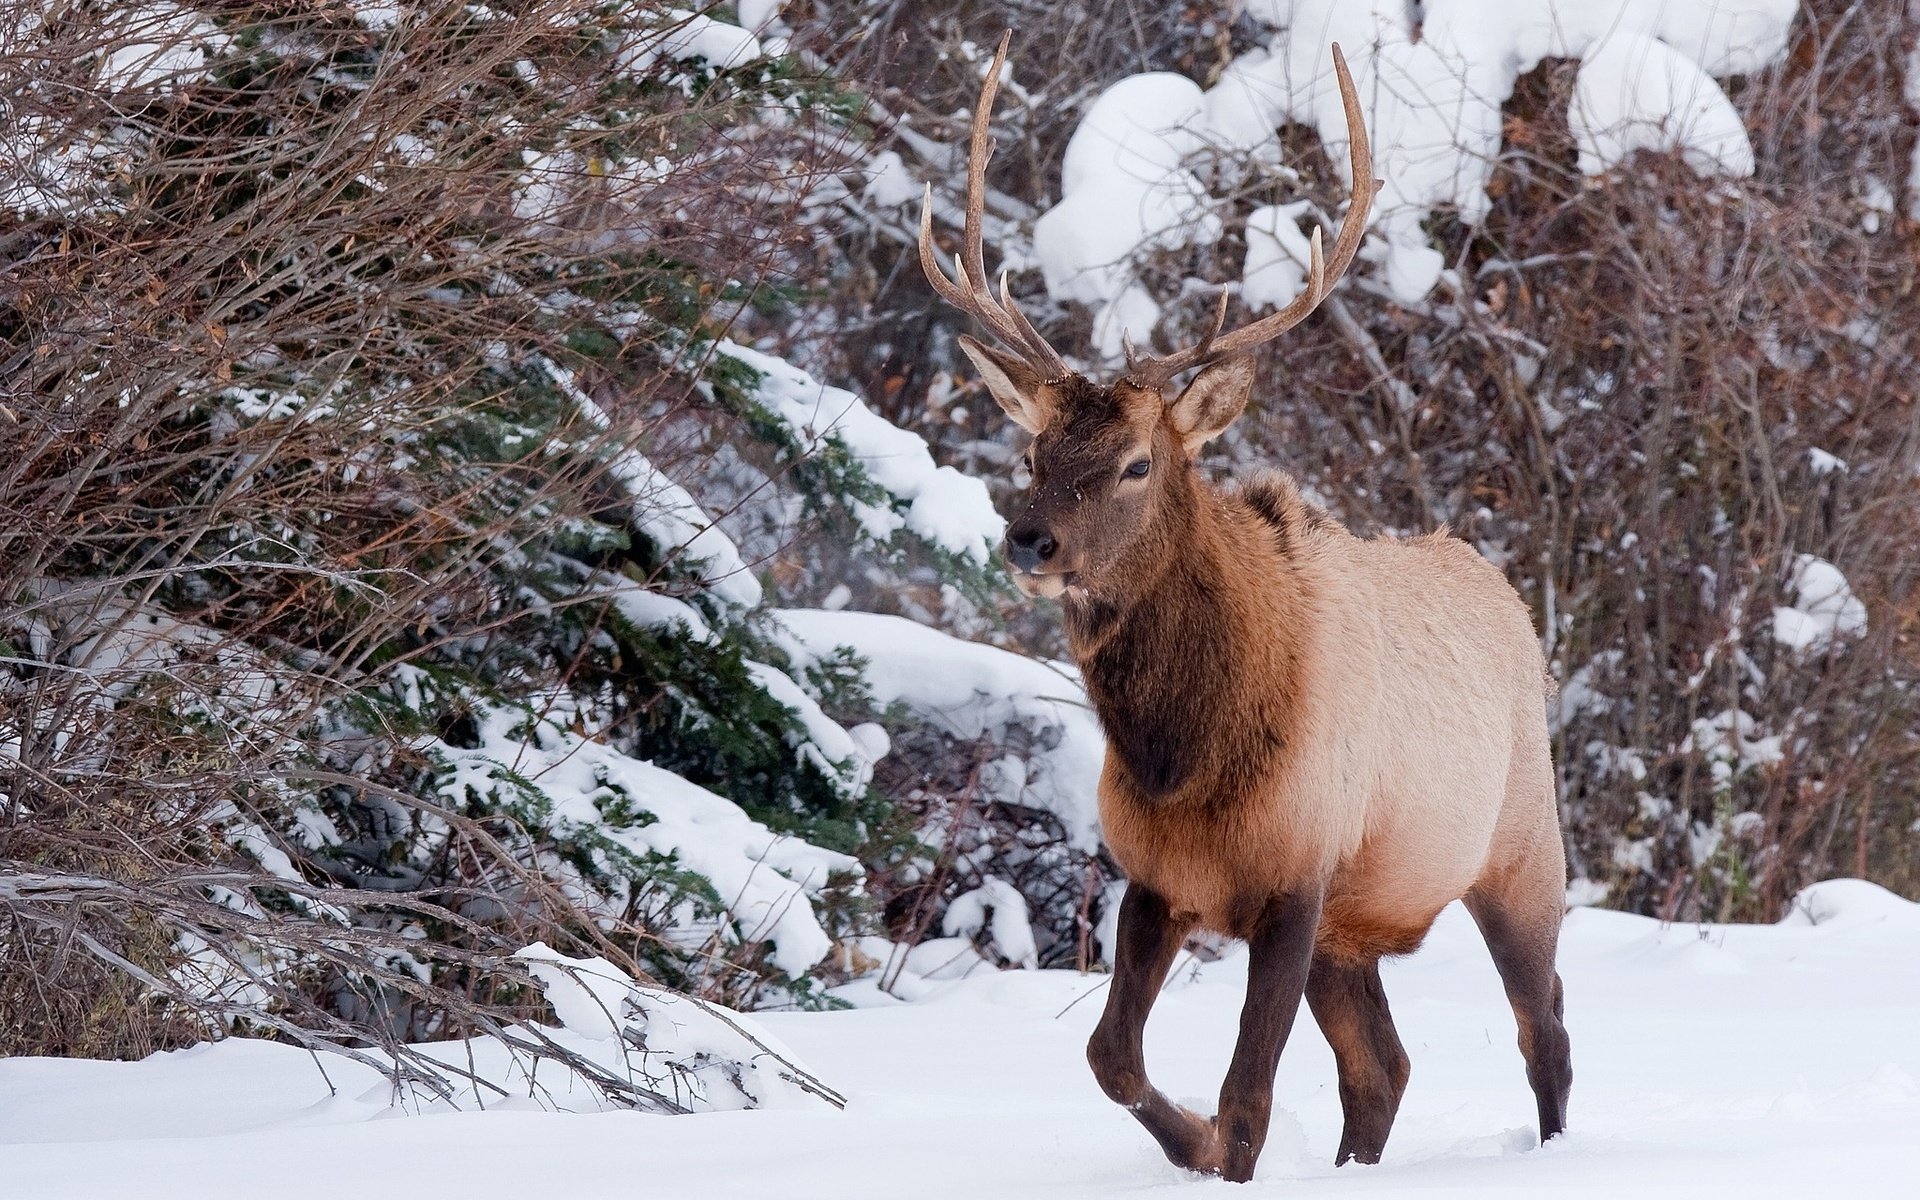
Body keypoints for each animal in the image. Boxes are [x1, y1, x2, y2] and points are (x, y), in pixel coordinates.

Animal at [925, 35, 1574, 1182]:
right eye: (1034, 453)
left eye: (1137, 463)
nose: (1030, 540)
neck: (1182, 757)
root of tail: (1504, 594)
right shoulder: (1156, 880)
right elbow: (1112, 1057)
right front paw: (1184, 1144)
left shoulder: (1296, 876)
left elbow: (1248, 1097)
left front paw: (1212, 1146)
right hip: (1355, 931)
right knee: (1384, 1067)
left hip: (1522, 853)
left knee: (1544, 1030)